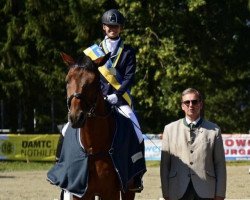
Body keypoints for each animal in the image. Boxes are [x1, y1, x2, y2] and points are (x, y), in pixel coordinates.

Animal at [58, 52, 137, 200]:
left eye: (93, 82)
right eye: (67, 81)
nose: (76, 117)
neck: (92, 147)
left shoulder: (111, 193)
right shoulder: (80, 193)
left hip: (128, 190)